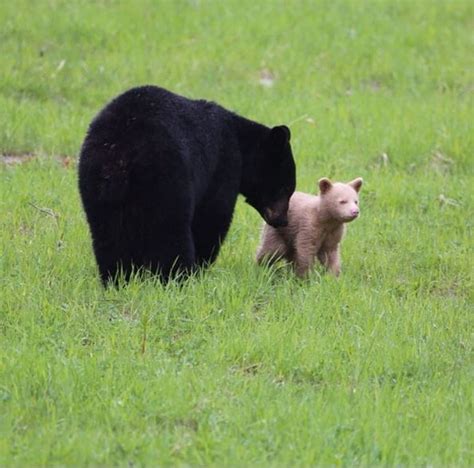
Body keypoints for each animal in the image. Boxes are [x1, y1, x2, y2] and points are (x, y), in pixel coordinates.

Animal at [78, 87, 296, 286]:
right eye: (286, 188)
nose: (282, 221)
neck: (240, 142)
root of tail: (119, 156)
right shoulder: (222, 165)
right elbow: (213, 216)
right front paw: (201, 265)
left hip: (95, 187)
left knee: (107, 236)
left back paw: (117, 279)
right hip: (167, 181)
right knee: (170, 233)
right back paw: (177, 277)